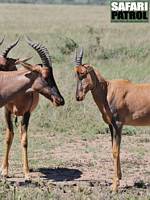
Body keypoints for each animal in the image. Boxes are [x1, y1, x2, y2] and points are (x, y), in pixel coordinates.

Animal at [0, 37, 64, 180]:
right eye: (45, 76)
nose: (60, 100)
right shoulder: (6, 111)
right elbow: (8, 138)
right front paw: (5, 171)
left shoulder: (27, 113)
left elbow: (24, 140)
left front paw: (27, 173)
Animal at [74, 47, 150, 191]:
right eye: (75, 75)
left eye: (83, 73)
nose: (78, 97)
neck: (108, 90)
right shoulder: (110, 125)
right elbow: (114, 149)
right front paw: (118, 179)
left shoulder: (118, 125)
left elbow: (115, 151)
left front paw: (114, 186)